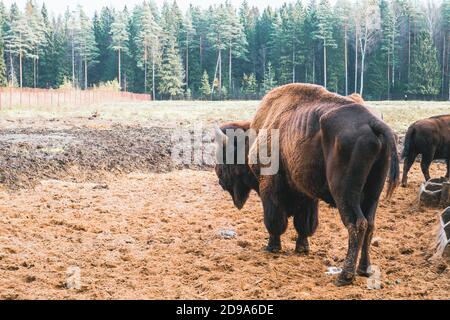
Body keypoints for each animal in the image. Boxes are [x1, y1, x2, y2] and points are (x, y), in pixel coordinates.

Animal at [216, 84, 400, 286]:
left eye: (224, 154)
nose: (219, 177)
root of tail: (372, 122)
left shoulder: (270, 189)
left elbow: (274, 221)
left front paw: (272, 247)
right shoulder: (307, 195)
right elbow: (304, 223)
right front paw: (302, 248)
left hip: (344, 193)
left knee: (357, 224)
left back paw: (344, 276)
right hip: (373, 192)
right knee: (370, 224)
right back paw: (364, 269)